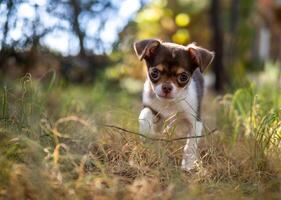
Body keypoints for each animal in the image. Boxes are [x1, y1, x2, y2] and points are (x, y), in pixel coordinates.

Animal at [132, 38, 213, 170]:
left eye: (183, 77)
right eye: (154, 73)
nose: (166, 87)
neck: (170, 103)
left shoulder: (195, 121)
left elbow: (190, 145)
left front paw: (187, 165)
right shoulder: (151, 108)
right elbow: (145, 115)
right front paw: (147, 134)